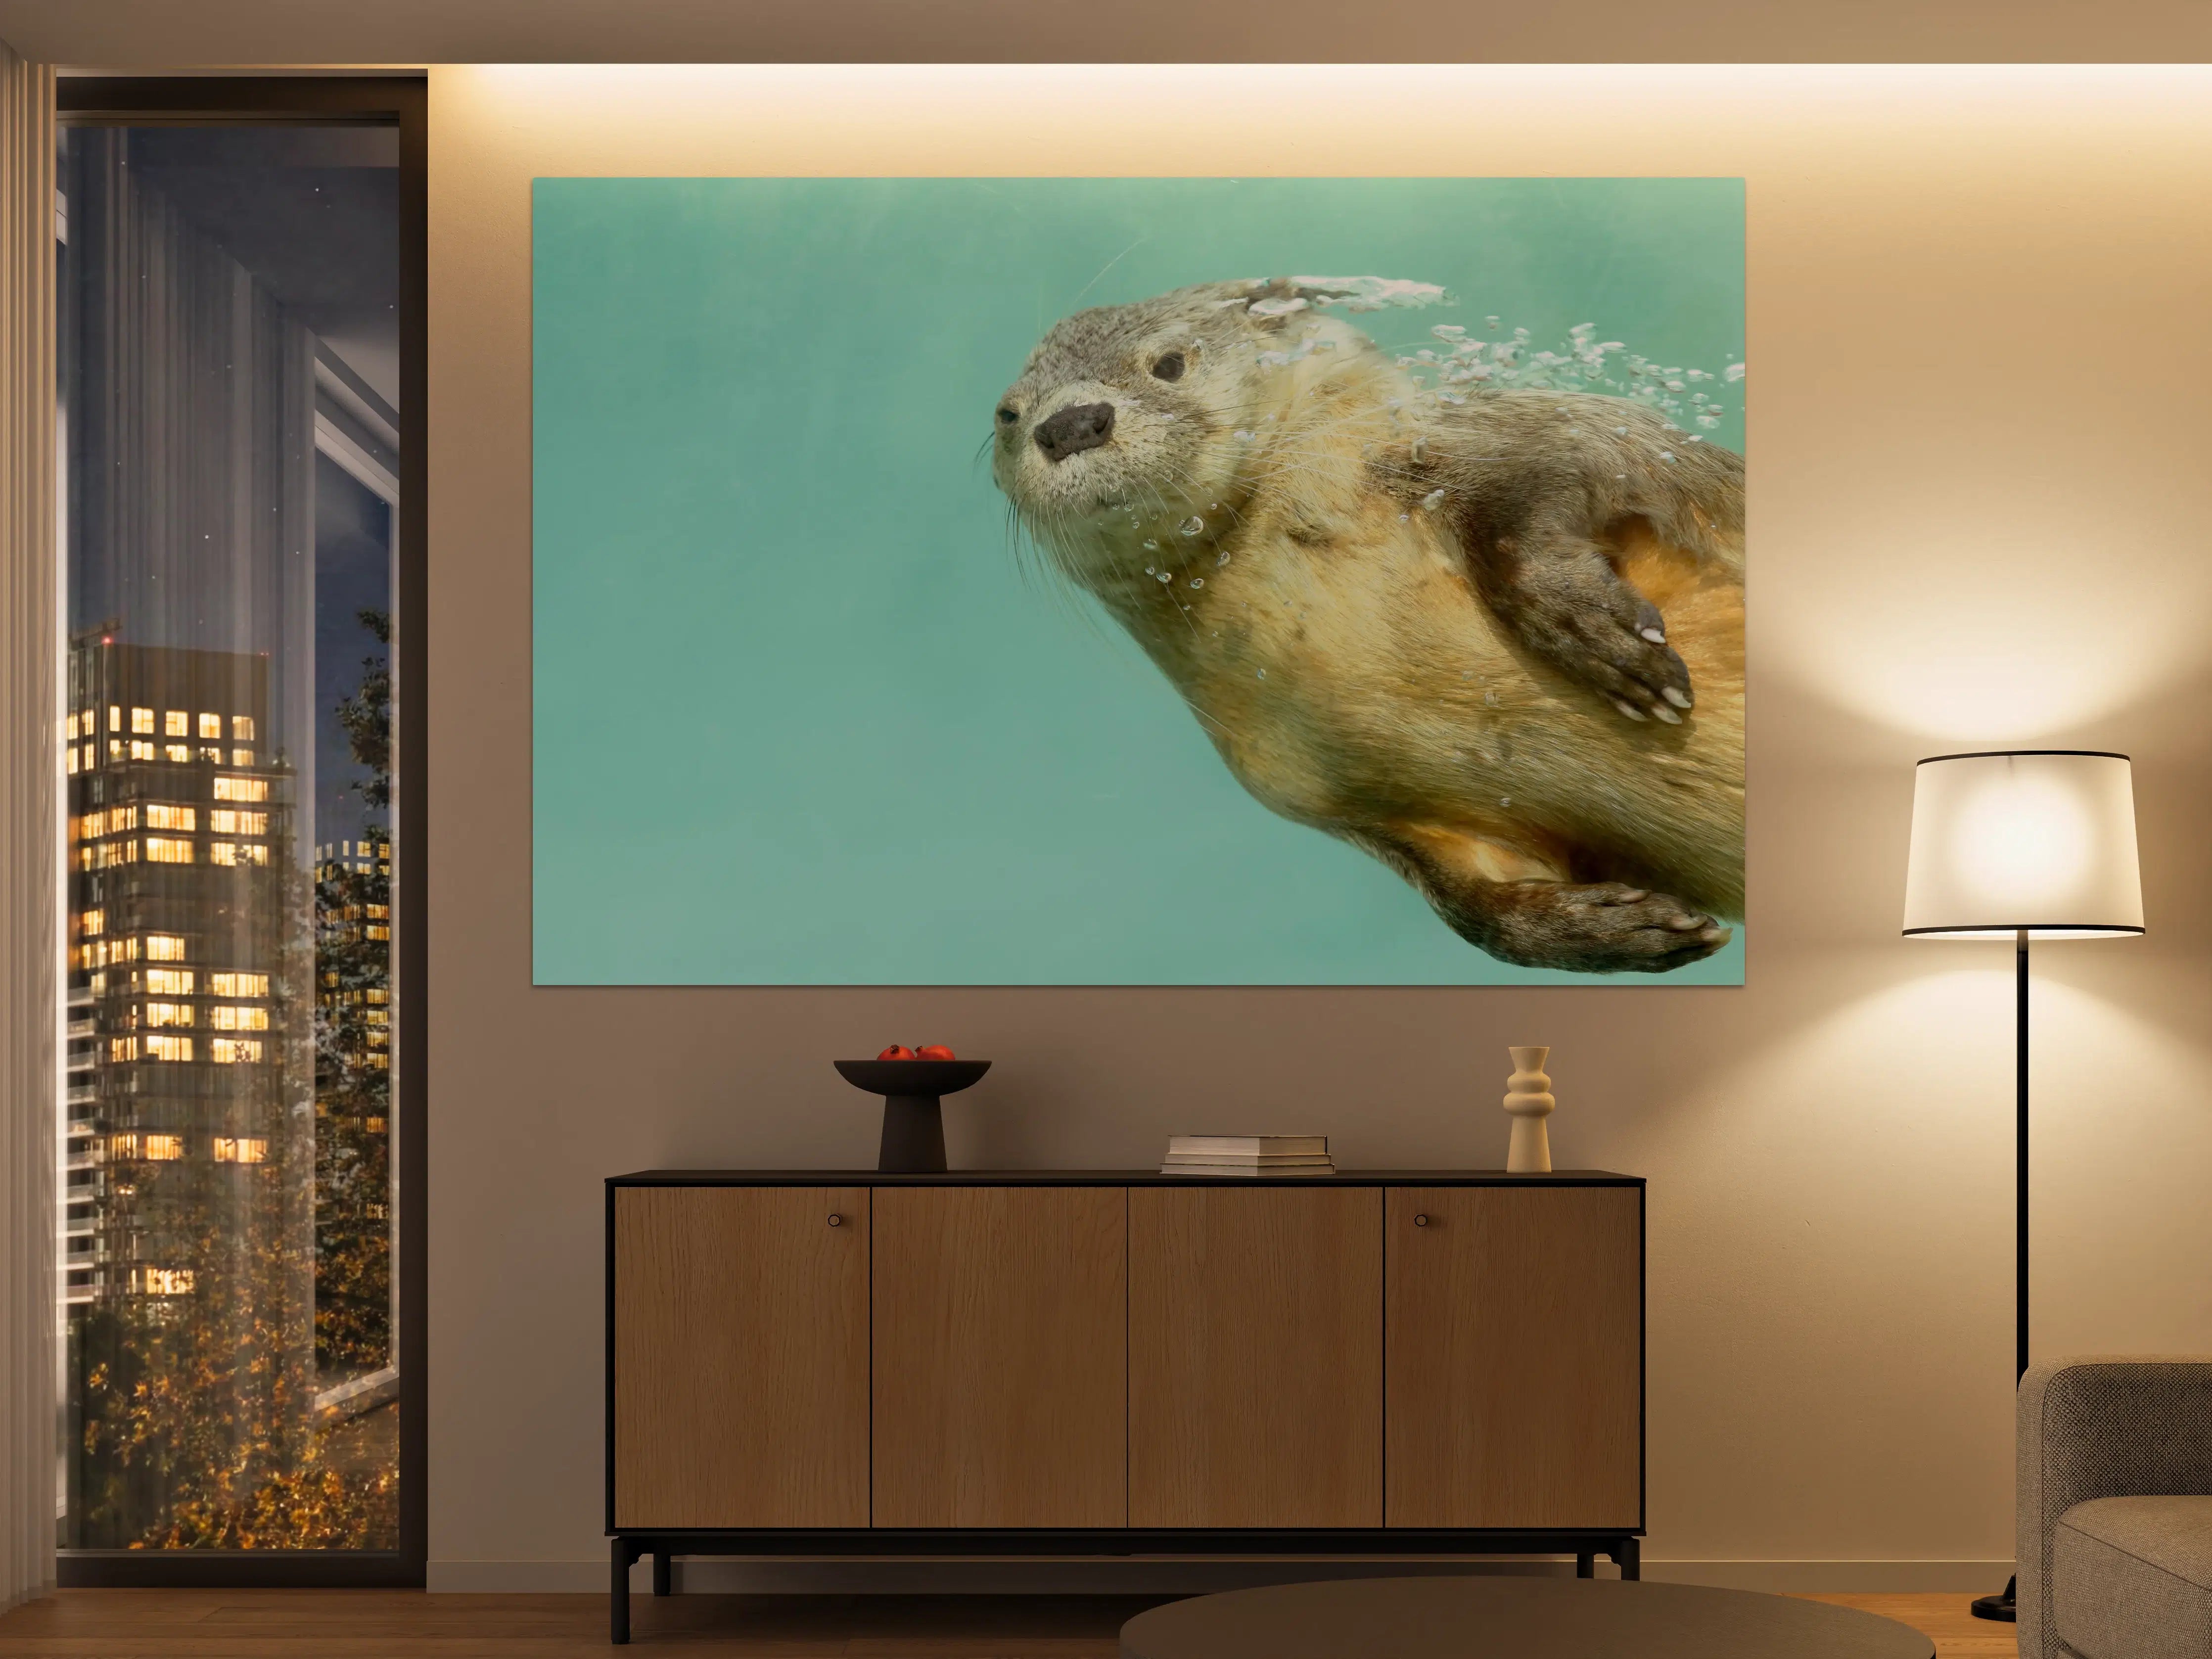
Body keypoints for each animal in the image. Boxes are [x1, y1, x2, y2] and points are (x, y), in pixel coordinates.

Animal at [990, 278, 1744, 974]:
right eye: (1007, 413)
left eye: (1169, 363)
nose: (1071, 423)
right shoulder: (1341, 803)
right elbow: (1478, 913)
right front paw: (1614, 928)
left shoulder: (1526, 432)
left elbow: (1560, 470)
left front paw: (1599, 637)